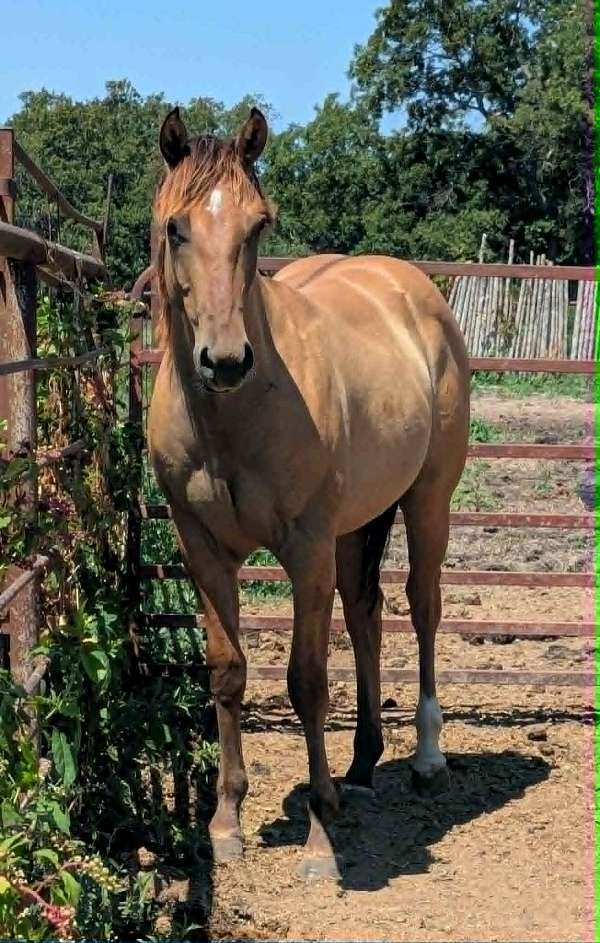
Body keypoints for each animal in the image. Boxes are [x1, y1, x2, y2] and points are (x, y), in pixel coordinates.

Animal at [148, 105, 470, 880]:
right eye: (176, 228)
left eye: (258, 225)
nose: (226, 360)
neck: (233, 417)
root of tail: (411, 290)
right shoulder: (203, 549)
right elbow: (228, 672)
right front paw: (225, 821)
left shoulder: (305, 549)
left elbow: (307, 680)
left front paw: (321, 837)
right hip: (358, 526)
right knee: (366, 613)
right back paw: (362, 765)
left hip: (427, 501)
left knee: (422, 608)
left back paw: (425, 758)